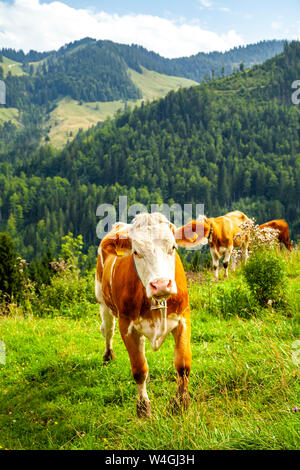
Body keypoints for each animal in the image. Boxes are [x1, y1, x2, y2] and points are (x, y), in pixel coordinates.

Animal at [94, 213, 197, 418]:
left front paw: (180, 404)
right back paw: (108, 356)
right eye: (135, 252)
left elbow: (182, 365)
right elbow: (139, 369)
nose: (161, 284)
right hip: (101, 299)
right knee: (108, 329)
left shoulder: (183, 318)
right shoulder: (127, 326)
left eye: (173, 247)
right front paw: (143, 408)